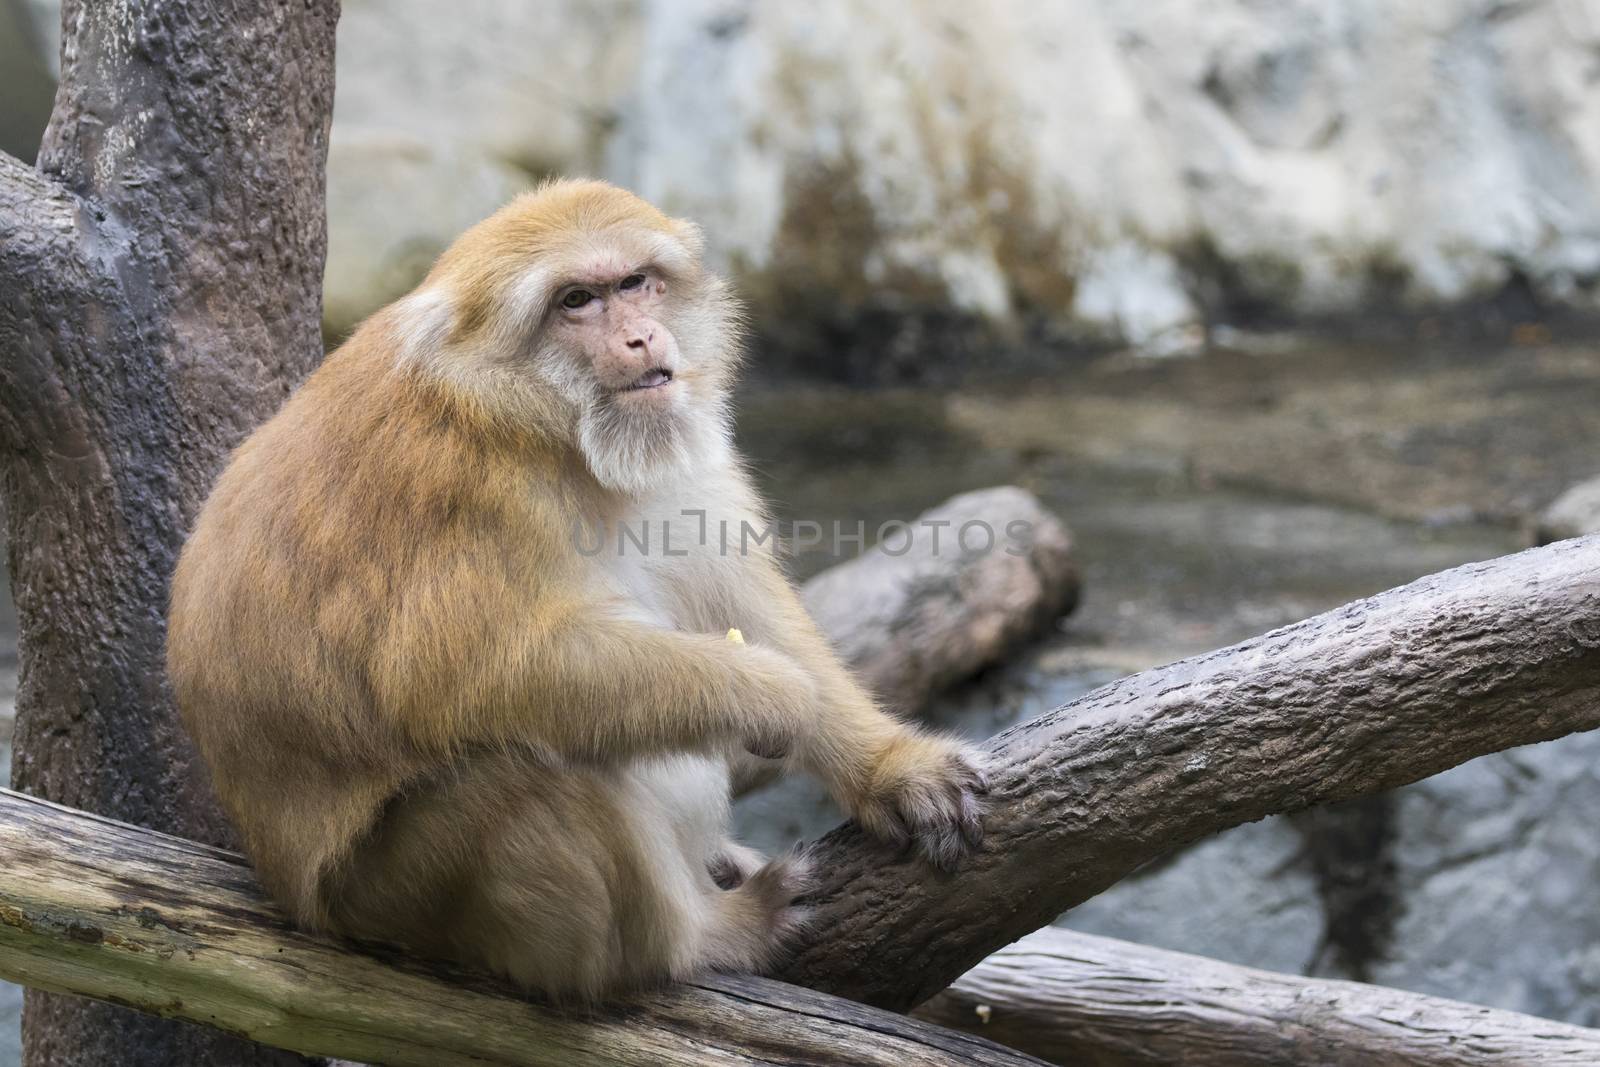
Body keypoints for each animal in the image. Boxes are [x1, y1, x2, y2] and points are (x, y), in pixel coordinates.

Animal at [165, 179, 985, 1004]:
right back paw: (698, 940)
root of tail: (294, 894)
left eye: (635, 283)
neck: (545, 427)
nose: (642, 340)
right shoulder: (470, 490)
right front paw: (767, 692)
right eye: (576, 301)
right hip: (391, 896)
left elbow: (736, 592)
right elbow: (462, 676)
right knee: (529, 766)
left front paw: (889, 766)